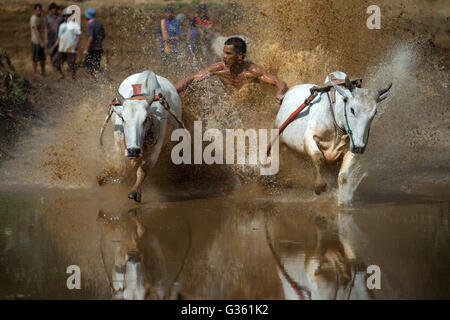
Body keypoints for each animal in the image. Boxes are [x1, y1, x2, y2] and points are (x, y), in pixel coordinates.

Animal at [100, 70, 183, 202]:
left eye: (145, 119)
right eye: (123, 118)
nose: (133, 150)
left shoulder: (155, 151)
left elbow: (142, 171)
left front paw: (135, 192)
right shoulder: (118, 146)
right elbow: (121, 167)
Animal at [274, 71, 390, 205]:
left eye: (374, 112)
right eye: (352, 109)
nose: (360, 147)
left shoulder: (351, 148)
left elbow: (343, 176)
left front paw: (342, 200)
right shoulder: (309, 136)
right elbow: (318, 157)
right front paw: (320, 186)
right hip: (278, 138)